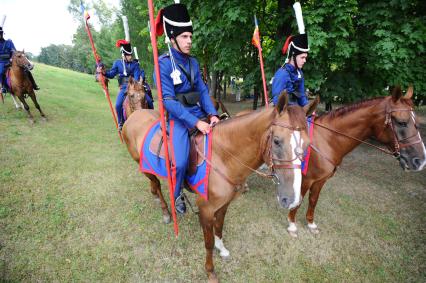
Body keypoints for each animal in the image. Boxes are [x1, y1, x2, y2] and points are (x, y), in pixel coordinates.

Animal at [121, 94, 318, 282]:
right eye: (277, 141)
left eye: (308, 144)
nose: (292, 199)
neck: (222, 157)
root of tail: (135, 115)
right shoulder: (206, 210)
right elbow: (207, 243)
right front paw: (210, 271)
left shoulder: (224, 204)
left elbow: (219, 227)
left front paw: (221, 248)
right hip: (143, 166)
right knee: (156, 185)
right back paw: (166, 211)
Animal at [286, 86, 426, 237]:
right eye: (402, 122)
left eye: (416, 122)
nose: (420, 160)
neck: (325, 139)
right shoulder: (307, 179)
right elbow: (298, 200)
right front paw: (292, 225)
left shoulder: (320, 180)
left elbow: (313, 200)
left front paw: (311, 224)